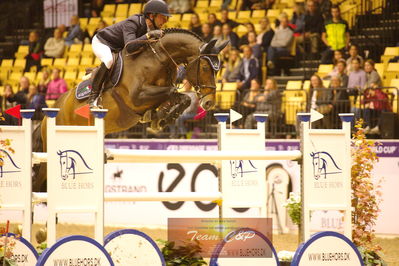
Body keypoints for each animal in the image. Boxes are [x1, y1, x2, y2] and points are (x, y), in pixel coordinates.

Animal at [32, 28, 228, 191]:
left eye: (218, 70)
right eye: (205, 67)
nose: (209, 102)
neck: (158, 59)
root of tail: (46, 116)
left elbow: (181, 97)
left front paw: (161, 117)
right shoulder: (137, 96)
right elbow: (172, 92)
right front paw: (162, 117)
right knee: (40, 180)